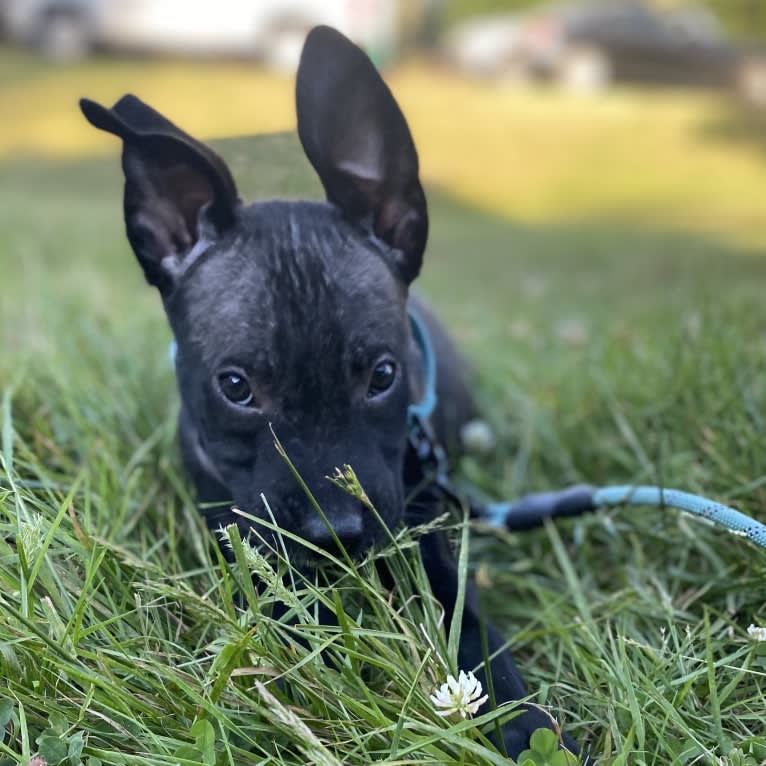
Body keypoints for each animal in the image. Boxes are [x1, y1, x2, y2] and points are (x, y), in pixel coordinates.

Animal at [79, 25, 584, 760]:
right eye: (236, 387)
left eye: (382, 376)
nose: (335, 536)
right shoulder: (236, 526)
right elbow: (272, 596)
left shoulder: (416, 514)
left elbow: (462, 615)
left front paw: (517, 717)